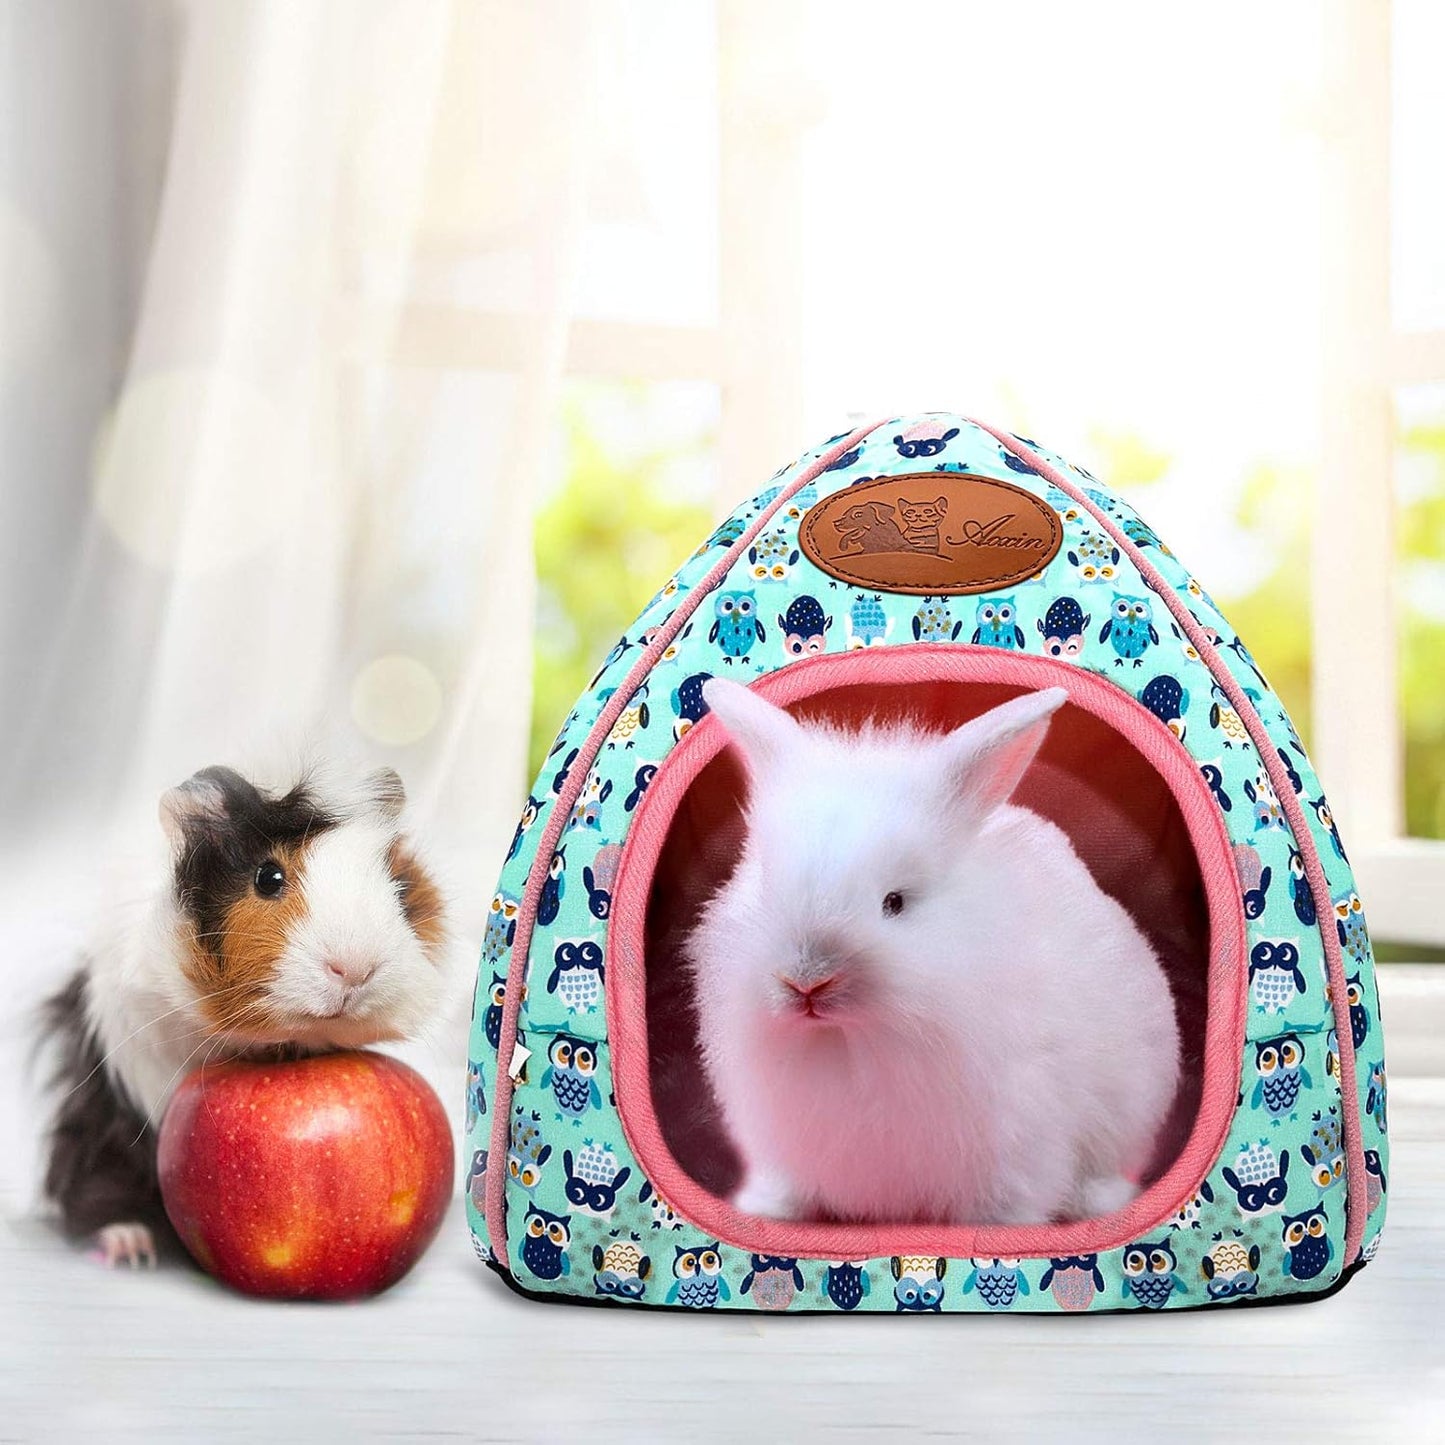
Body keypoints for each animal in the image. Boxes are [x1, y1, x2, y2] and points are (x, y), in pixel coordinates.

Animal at [686, 678, 1181, 1226]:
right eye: (768, 885)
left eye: (895, 902)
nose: (807, 981)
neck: (852, 1042)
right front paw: (767, 1210)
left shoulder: (1017, 1133)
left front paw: (1000, 1228)